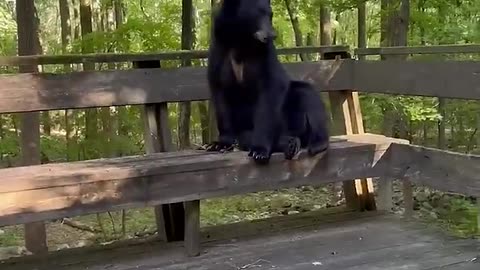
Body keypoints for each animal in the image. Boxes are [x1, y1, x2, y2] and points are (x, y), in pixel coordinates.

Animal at [206, 0, 330, 165]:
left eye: (270, 15)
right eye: (257, 14)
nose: (272, 35)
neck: (242, 42)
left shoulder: (265, 55)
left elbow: (269, 93)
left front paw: (259, 151)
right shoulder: (220, 50)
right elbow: (220, 93)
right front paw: (220, 143)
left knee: (307, 94)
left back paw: (317, 143)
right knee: (246, 136)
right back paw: (289, 143)